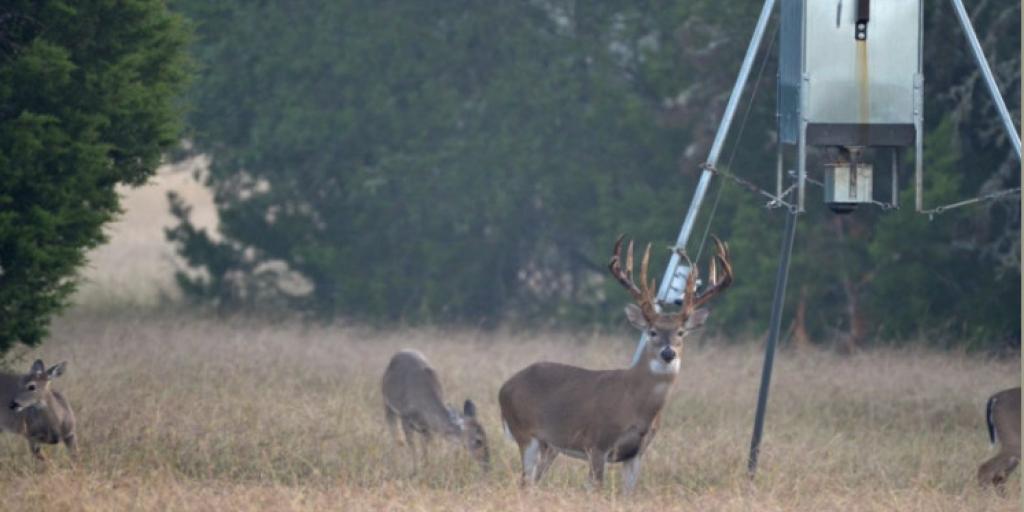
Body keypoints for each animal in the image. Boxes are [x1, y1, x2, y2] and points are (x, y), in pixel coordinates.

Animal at [499, 235, 732, 492]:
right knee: (524, 480)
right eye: (652, 331)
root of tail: (505, 387)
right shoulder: (597, 442)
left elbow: (629, 493)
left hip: (549, 444)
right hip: (525, 432)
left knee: (533, 481)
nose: (668, 353)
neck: (635, 404)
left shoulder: (637, 453)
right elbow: (596, 489)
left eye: (680, 332)